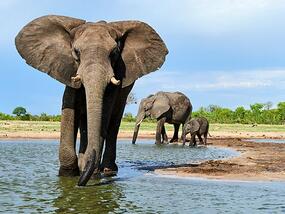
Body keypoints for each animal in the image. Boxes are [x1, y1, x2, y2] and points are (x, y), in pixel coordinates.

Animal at [15, 15, 166, 186]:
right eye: (76, 52)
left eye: (114, 52)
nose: (80, 183)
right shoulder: (69, 70)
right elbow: (69, 109)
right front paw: (68, 174)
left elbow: (104, 113)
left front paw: (90, 172)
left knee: (114, 122)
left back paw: (107, 170)